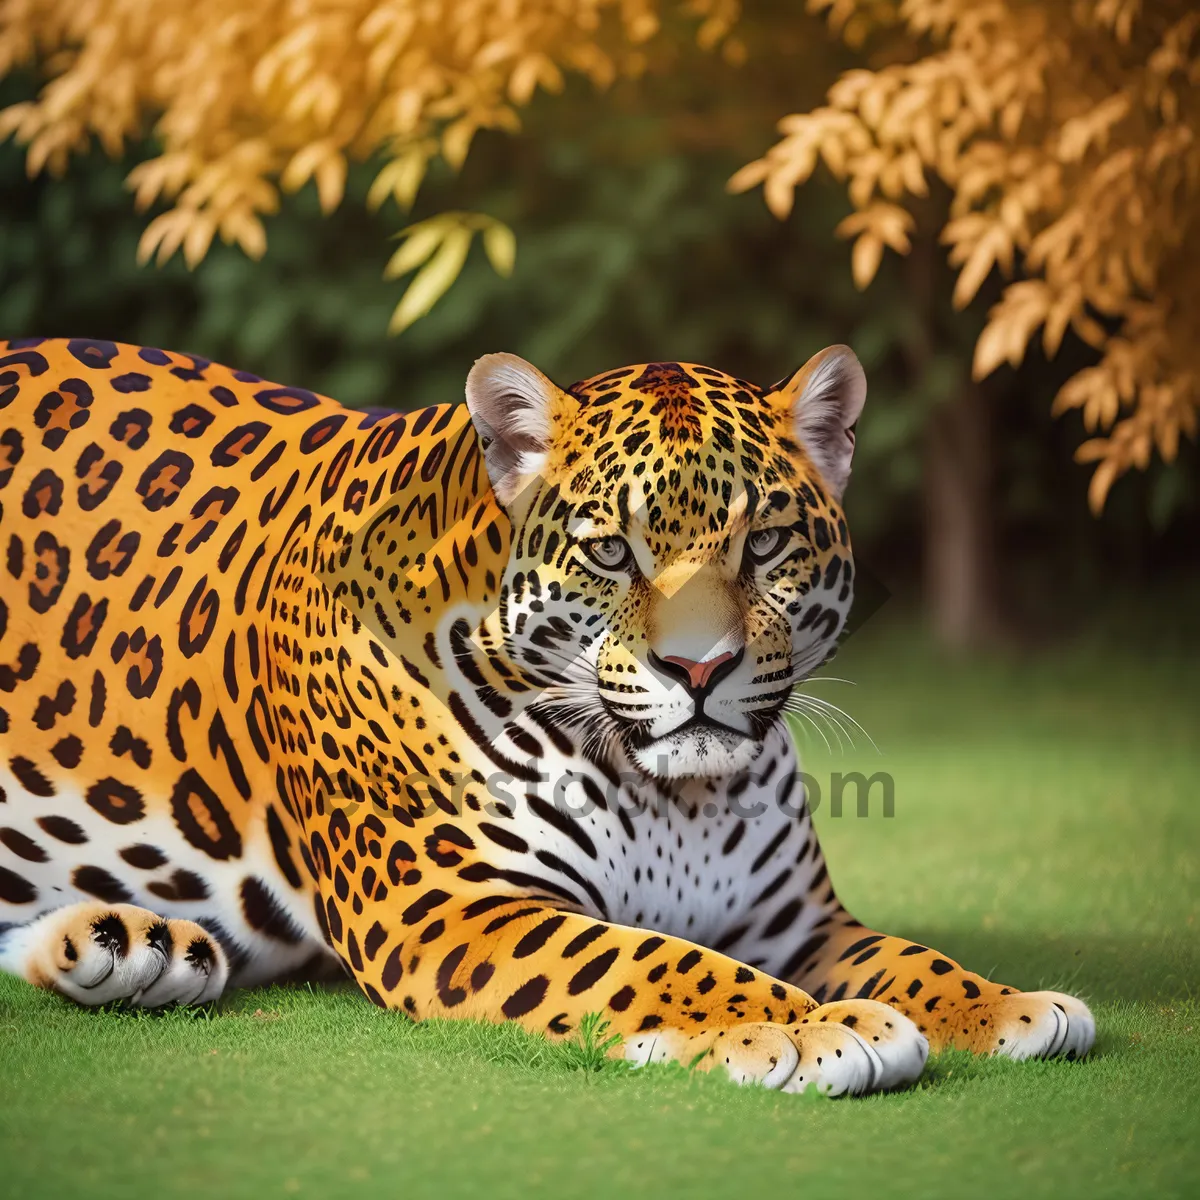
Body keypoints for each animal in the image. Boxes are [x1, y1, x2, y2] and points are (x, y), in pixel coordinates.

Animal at [0, 338, 1099, 1099]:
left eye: (765, 543)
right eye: (612, 551)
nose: (700, 667)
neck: (674, 798)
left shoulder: (794, 921)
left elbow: (907, 957)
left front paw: (1004, 1004)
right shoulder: (451, 905)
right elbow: (645, 955)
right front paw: (807, 1029)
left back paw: (130, 949)